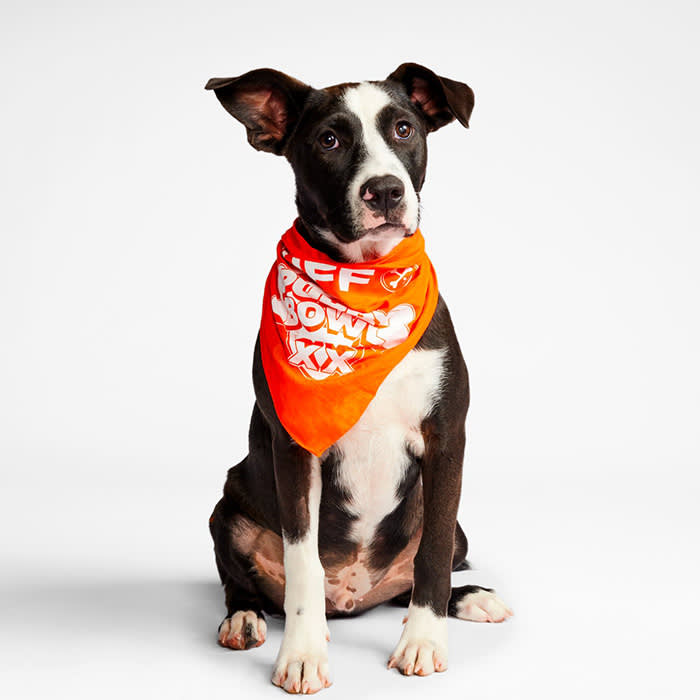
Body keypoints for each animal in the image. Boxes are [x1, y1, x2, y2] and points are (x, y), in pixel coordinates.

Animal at [205, 61, 512, 696]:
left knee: (432, 566)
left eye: (403, 129)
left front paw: (423, 642)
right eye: (330, 140)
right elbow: (301, 561)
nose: (386, 190)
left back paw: (472, 597)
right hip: (228, 505)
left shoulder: (447, 439)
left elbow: (432, 555)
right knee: (240, 582)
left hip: (456, 523)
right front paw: (301, 655)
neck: (366, 287)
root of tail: (355, 599)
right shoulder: (294, 449)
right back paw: (244, 618)